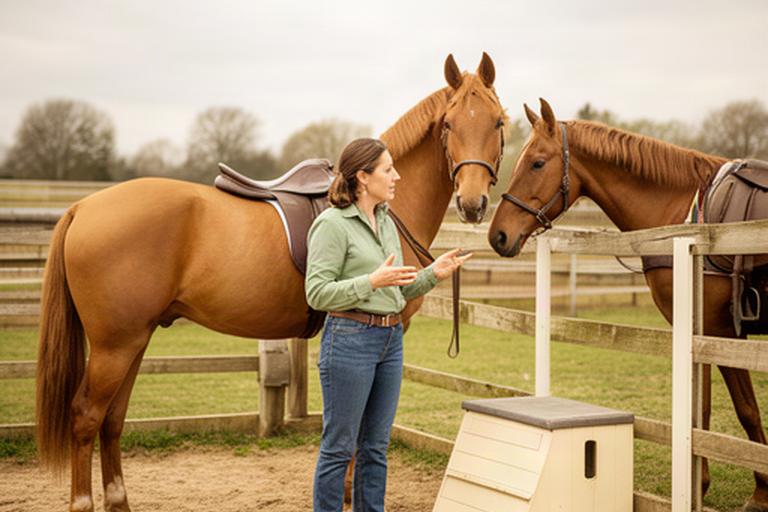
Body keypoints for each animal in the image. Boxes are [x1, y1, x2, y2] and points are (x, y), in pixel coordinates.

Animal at [36, 52, 506, 512]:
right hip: (115, 345)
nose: (472, 203)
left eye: (498, 122)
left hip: (134, 339)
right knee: (86, 416)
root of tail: (83, 207)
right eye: (449, 124)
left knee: (113, 419)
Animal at [487, 98, 767, 512]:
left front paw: (742, 490)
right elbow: (712, 412)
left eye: (537, 163)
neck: (688, 218)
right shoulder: (706, 336)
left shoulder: (715, 334)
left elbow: (730, 411)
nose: (498, 235)